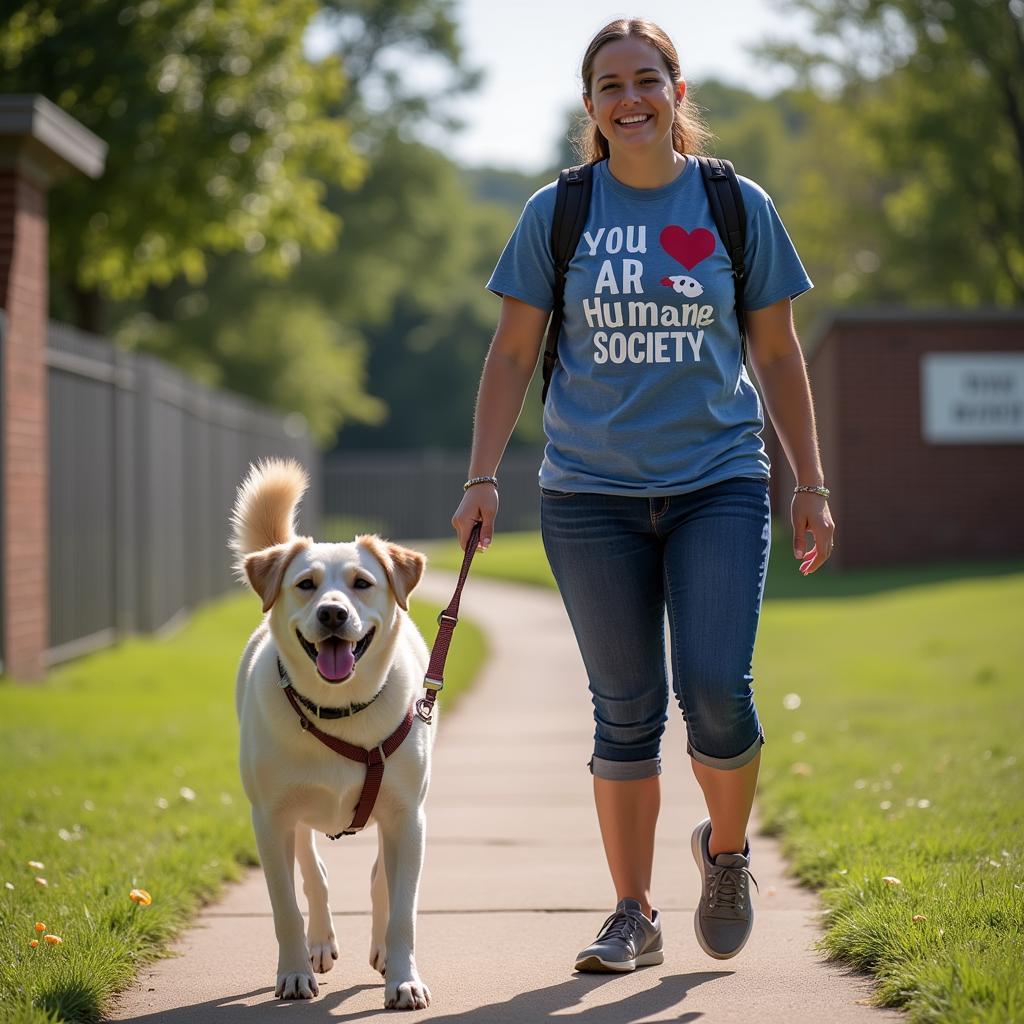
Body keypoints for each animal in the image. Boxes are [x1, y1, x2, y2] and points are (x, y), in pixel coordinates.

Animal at [230, 458, 434, 1007]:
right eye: (306, 584)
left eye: (362, 582)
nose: (333, 613)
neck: (339, 712)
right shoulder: (269, 819)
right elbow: (285, 905)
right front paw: (294, 973)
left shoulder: (409, 818)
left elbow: (403, 909)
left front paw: (403, 977)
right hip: (297, 815)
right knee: (314, 875)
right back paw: (319, 943)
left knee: (380, 879)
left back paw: (381, 950)